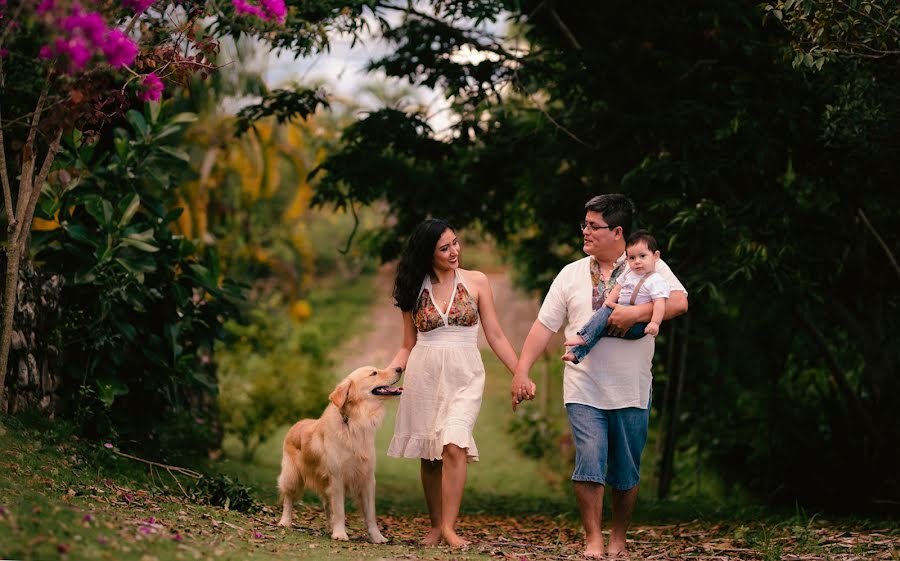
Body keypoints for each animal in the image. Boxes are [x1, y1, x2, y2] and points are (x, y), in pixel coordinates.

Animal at [274, 366, 400, 540]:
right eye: (373, 373)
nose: (399, 368)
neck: (354, 422)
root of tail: (296, 424)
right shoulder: (337, 477)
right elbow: (340, 510)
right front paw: (340, 533)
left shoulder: (367, 478)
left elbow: (370, 514)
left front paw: (377, 537)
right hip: (292, 474)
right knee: (288, 498)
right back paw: (285, 521)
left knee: (327, 505)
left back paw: (330, 527)